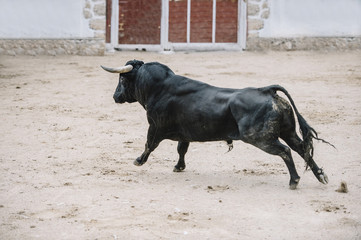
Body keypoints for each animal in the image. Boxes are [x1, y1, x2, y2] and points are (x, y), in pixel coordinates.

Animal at [100, 60, 330, 189]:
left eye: (122, 80)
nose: (115, 96)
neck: (159, 87)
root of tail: (267, 90)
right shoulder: (184, 133)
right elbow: (181, 148)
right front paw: (179, 167)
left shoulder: (155, 126)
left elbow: (149, 144)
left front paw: (138, 160)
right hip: (287, 131)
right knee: (301, 148)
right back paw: (321, 176)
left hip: (259, 138)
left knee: (285, 151)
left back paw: (294, 181)